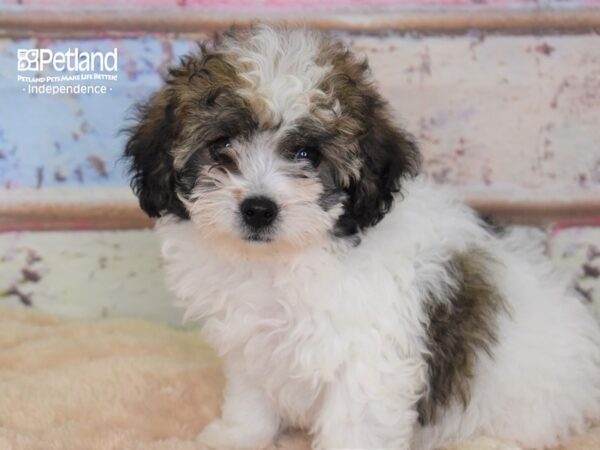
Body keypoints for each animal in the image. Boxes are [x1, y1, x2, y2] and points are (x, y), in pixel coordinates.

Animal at [123, 24, 600, 450]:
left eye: (307, 154)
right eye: (221, 144)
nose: (258, 208)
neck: (282, 259)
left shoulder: (369, 360)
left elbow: (355, 424)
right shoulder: (253, 344)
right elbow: (252, 398)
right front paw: (237, 436)